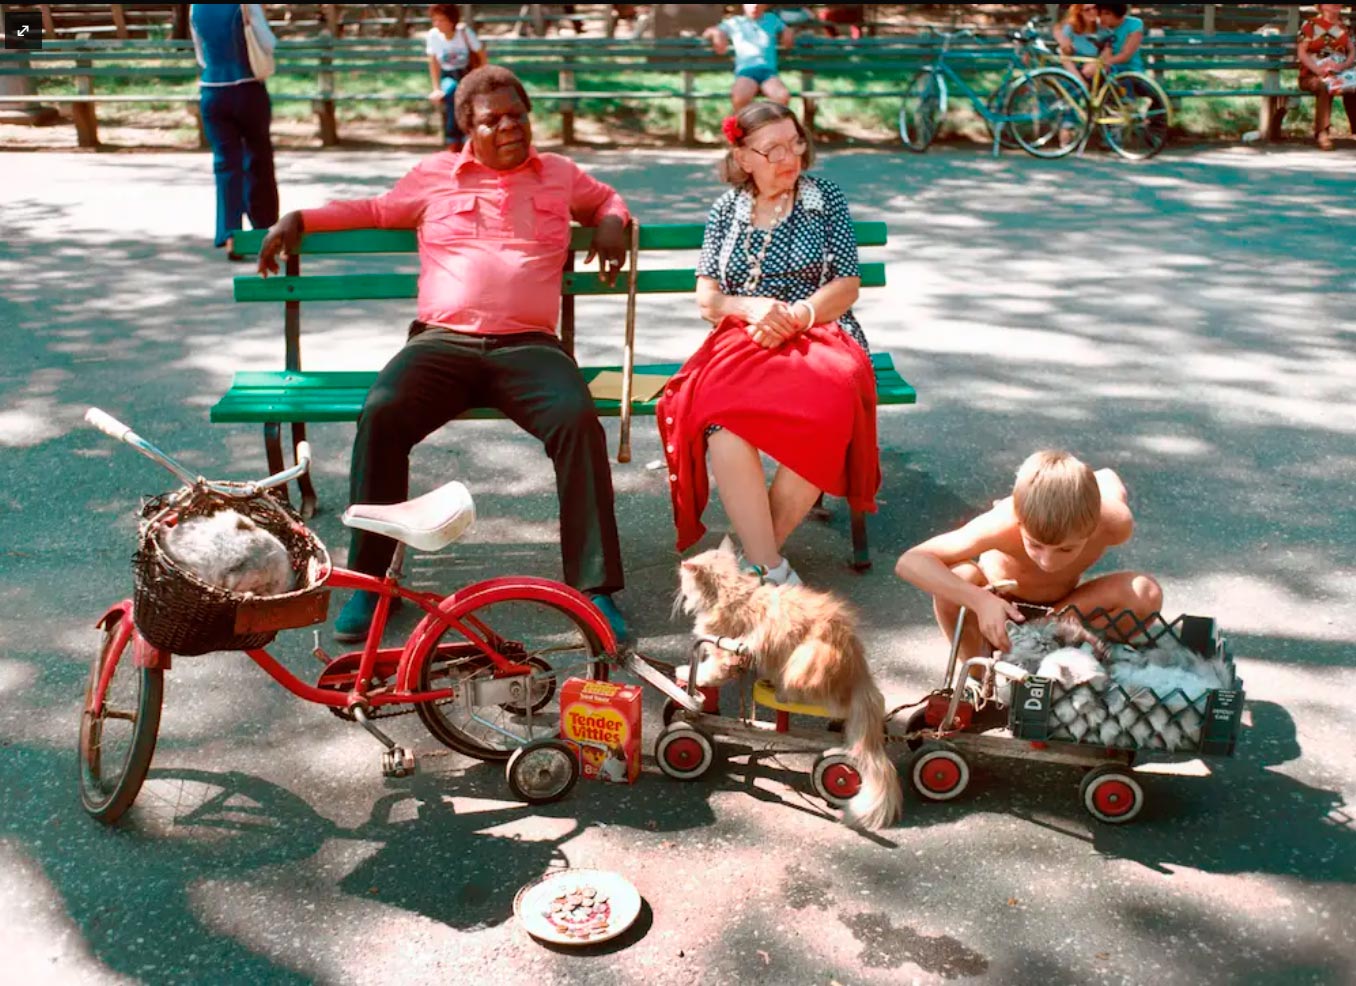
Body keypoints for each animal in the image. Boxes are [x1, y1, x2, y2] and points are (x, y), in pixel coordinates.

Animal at [675, 539, 900, 835]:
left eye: (683, 580)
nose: (678, 588)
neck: (734, 592)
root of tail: (860, 673)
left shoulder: (726, 653)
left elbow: (708, 672)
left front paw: (688, 676)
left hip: (804, 659)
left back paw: (783, 692)